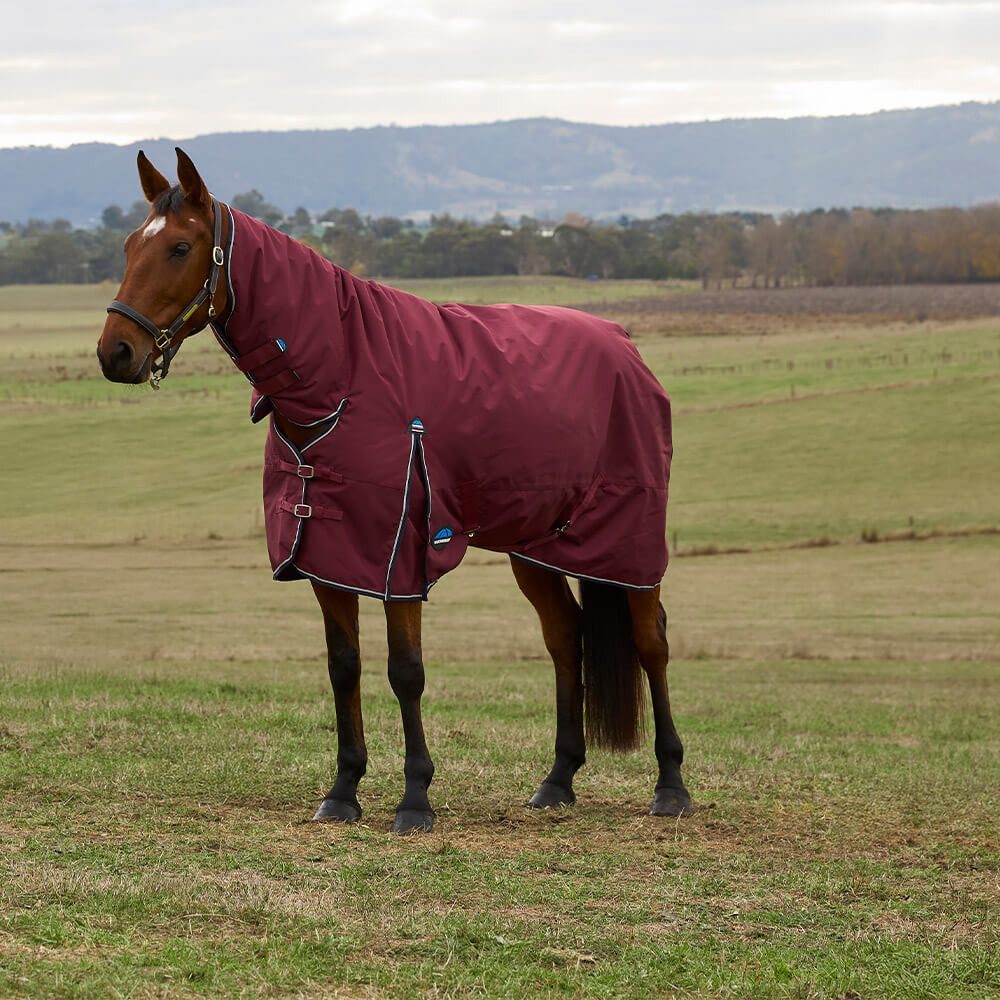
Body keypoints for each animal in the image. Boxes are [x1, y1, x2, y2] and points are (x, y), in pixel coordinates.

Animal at [96, 148, 691, 834]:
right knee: (566, 638)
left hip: (628, 544)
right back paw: (558, 779)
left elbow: (406, 672)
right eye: (128, 245)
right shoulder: (328, 554)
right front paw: (343, 790)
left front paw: (415, 798)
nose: (115, 352)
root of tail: (625, 346)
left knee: (652, 642)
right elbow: (343, 667)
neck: (344, 377)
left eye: (180, 247)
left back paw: (671, 785)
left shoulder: (399, 557)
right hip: (535, 547)